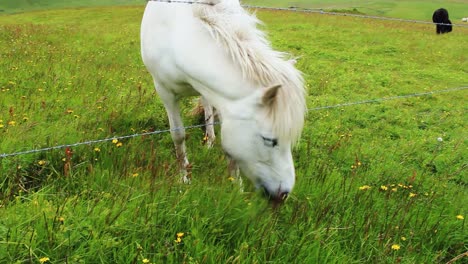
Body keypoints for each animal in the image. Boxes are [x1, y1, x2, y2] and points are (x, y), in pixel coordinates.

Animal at [140, 0, 308, 202]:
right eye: (269, 140)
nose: (284, 194)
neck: (177, 37)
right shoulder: (165, 92)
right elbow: (178, 135)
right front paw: (184, 179)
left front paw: (236, 186)